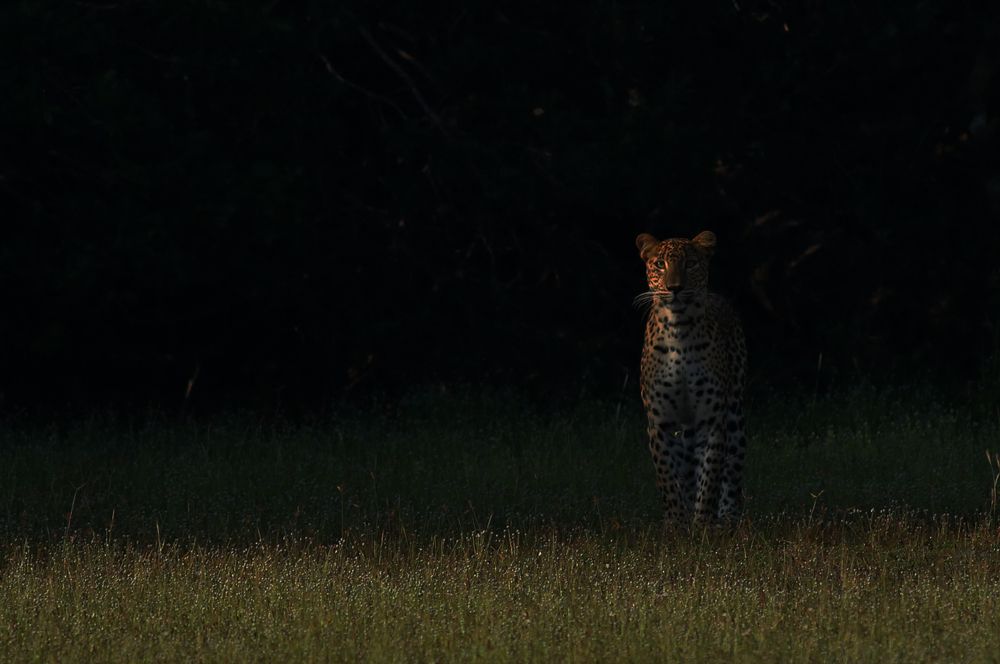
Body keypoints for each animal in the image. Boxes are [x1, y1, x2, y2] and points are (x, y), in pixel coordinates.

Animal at [634, 231, 748, 527]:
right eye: (660, 264)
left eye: (691, 264)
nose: (674, 288)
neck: (679, 330)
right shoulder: (660, 422)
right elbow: (668, 478)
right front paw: (676, 524)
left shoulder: (711, 419)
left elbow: (709, 478)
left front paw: (703, 525)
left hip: (735, 414)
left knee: (732, 471)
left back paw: (728, 519)